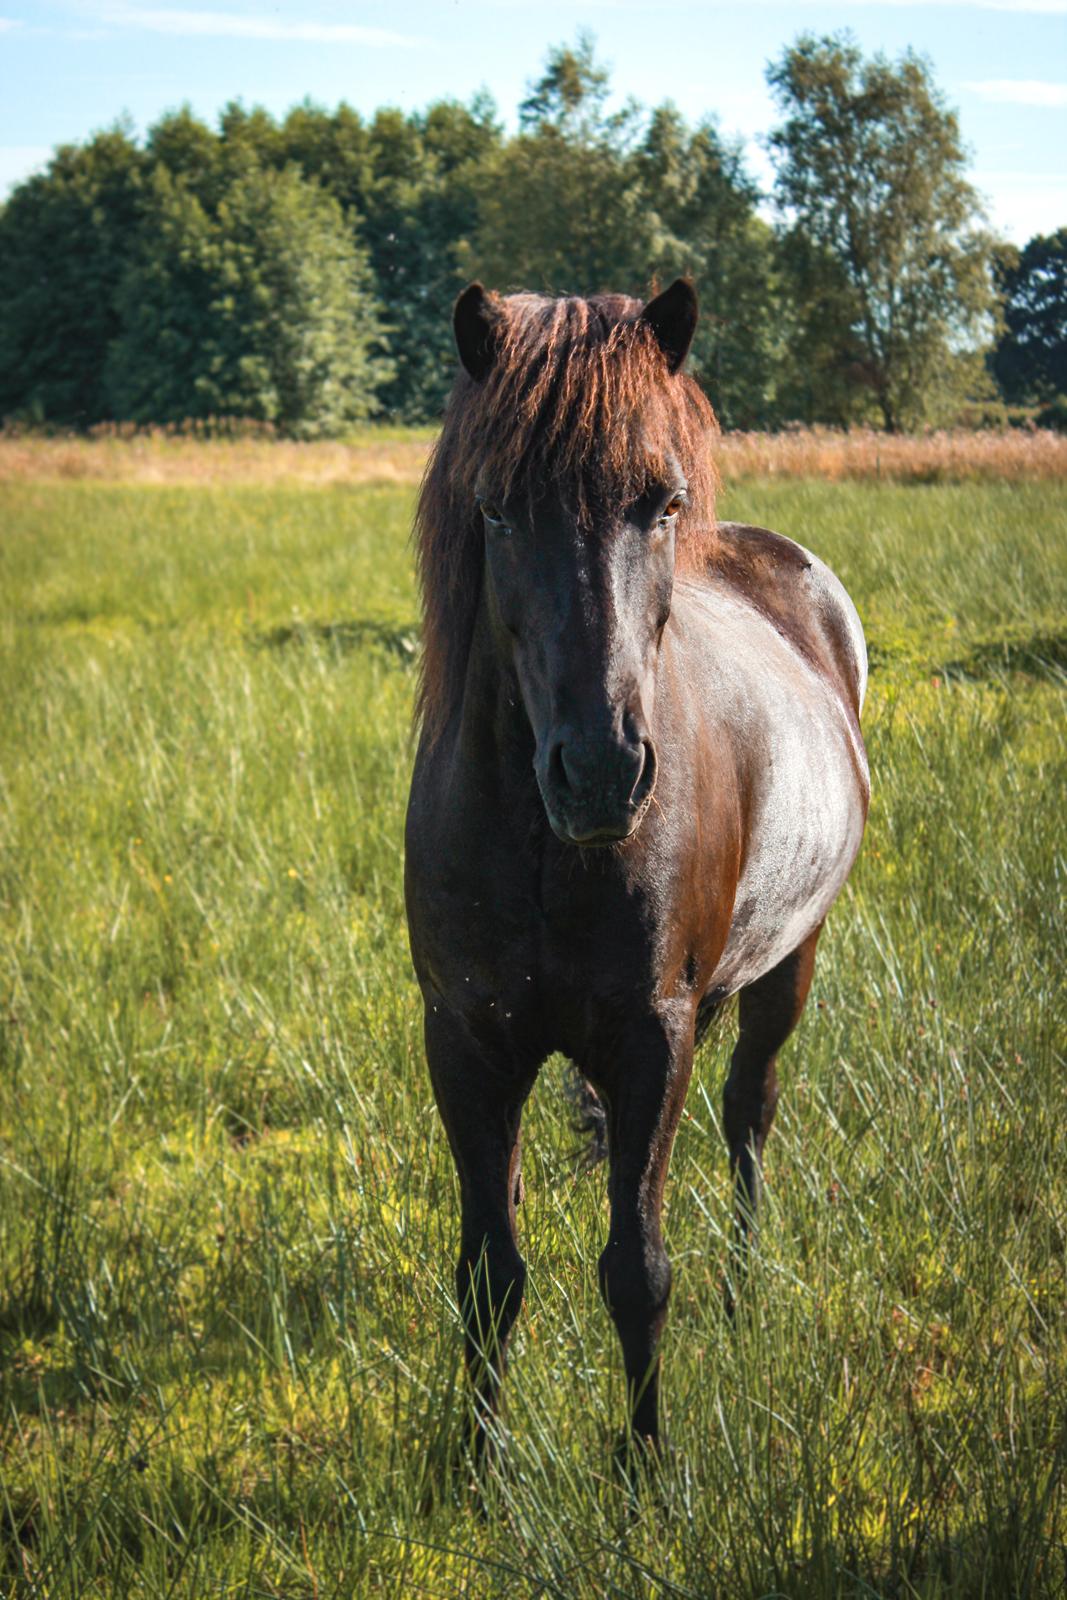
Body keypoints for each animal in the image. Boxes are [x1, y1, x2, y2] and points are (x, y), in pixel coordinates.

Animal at [403, 275, 870, 1465]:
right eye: (496, 507)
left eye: (658, 502)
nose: (602, 772)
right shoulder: (464, 1040)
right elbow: (489, 1271)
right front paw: (475, 1468)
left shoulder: (652, 1037)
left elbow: (637, 1272)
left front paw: (645, 1473)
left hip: (789, 962)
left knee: (750, 1112)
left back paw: (744, 1296)